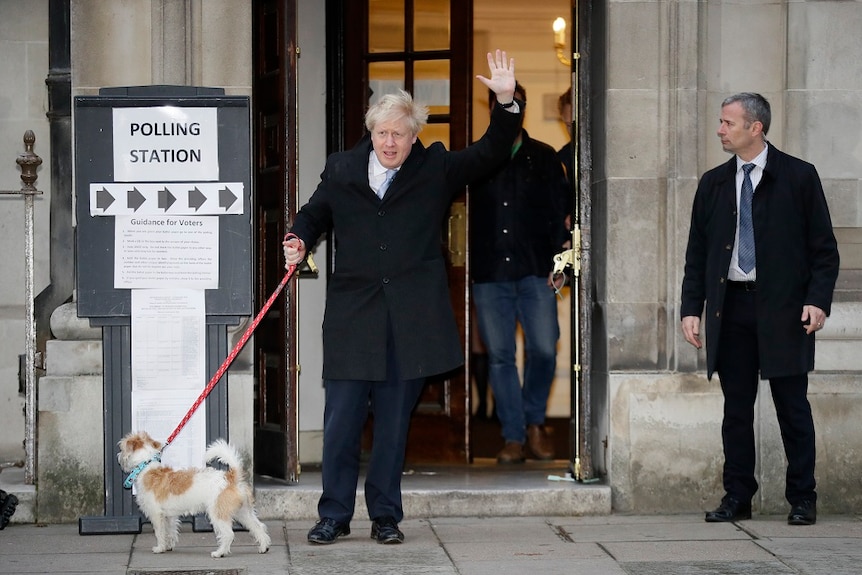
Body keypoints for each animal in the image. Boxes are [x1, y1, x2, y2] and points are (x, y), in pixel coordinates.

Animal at [118, 432, 272, 560]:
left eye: (122, 447)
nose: (118, 455)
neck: (145, 467)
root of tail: (230, 477)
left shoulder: (157, 515)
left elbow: (160, 533)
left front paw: (160, 548)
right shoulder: (169, 516)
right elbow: (170, 531)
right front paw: (168, 546)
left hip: (218, 514)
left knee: (229, 534)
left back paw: (219, 552)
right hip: (244, 513)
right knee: (258, 526)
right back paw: (263, 547)